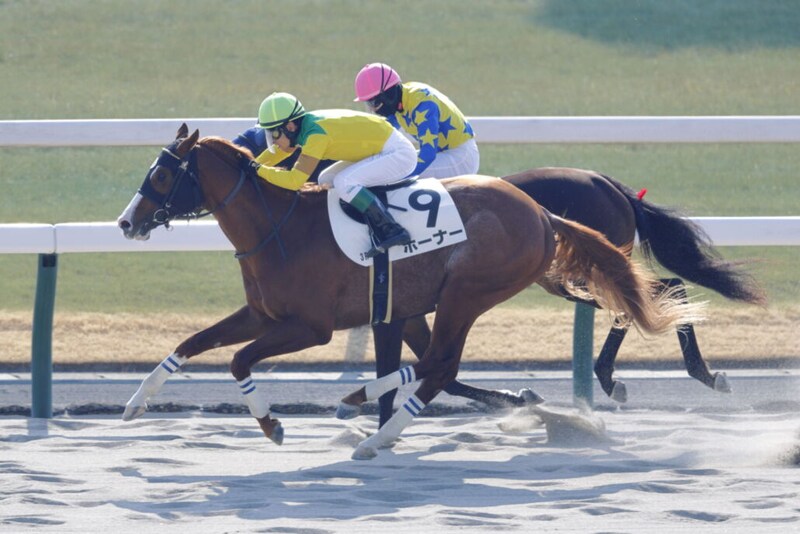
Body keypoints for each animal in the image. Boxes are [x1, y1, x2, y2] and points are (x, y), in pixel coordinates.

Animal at [117, 124, 702, 458]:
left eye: (163, 176)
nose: (126, 223)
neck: (279, 225)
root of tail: (541, 213)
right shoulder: (264, 314)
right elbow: (190, 344)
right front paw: (135, 405)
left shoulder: (311, 327)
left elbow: (238, 360)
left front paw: (272, 423)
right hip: (509, 287)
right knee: (438, 365)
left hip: (473, 291)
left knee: (441, 364)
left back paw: (371, 425)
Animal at [369, 167, 766, 426]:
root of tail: (609, 185)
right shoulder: (411, 313)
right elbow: (440, 371)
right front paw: (517, 397)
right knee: (649, 297)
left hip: (582, 270)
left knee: (656, 293)